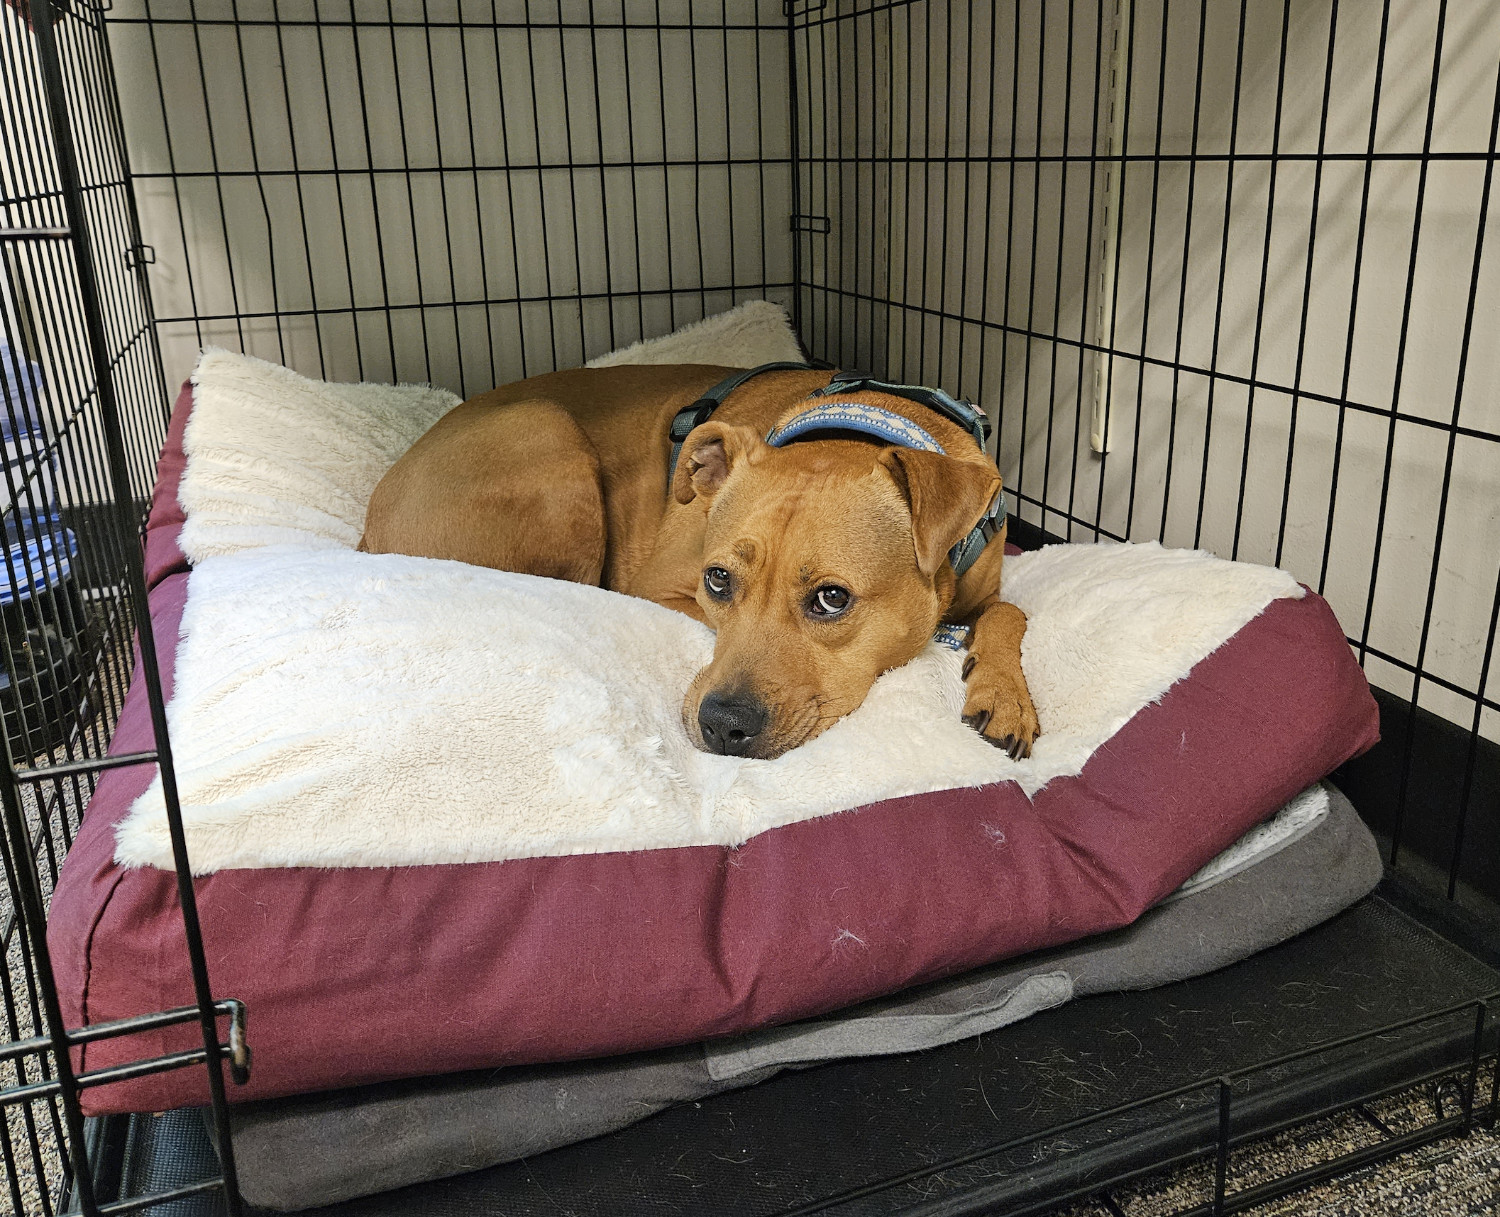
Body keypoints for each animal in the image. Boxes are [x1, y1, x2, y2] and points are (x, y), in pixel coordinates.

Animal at [363, 364, 1044, 762]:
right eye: (718, 581)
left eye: (832, 599)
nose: (723, 726)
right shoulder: (660, 590)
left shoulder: (984, 587)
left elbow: (1009, 610)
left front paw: (1005, 693)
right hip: (551, 448)